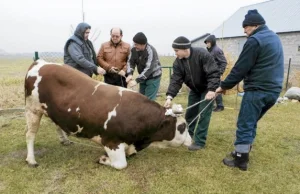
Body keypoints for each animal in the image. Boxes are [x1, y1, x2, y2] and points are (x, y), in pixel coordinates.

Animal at [24, 59, 191, 170]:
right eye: (182, 127)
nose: (191, 141)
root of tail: (40, 62)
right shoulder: (112, 141)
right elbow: (121, 164)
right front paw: (103, 159)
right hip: (33, 109)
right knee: (30, 135)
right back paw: (31, 159)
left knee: (57, 124)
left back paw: (64, 140)